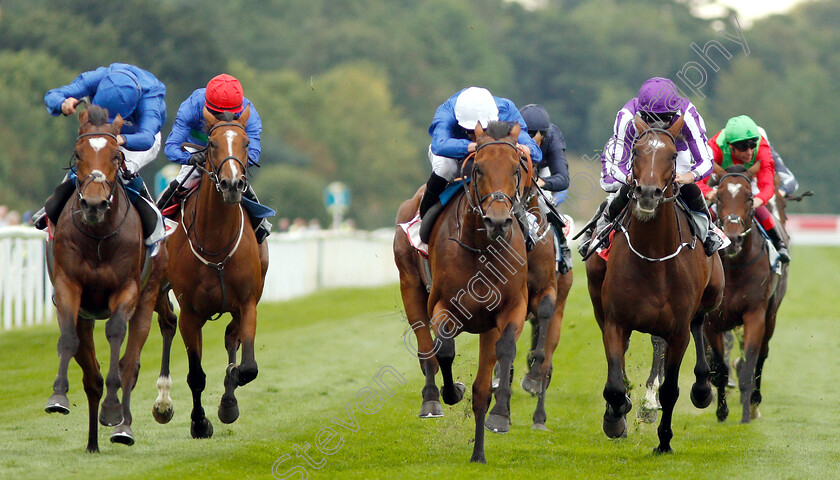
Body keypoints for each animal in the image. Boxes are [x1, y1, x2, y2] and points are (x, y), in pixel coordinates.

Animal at [45, 104, 167, 450]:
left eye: (115, 156)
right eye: (78, 154)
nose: (94, 204)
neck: (99, 236)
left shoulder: (126, 291)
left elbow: (116, 337)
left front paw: (112, 411)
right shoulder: (68, 286)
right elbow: (69, 341)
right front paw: (58, 396)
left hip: (148, 297)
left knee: (130, 363)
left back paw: (123, 428)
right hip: (85, 314)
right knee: (91, 375)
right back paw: (92, 443)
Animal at [152, 107, 270, 436]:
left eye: (246, 143)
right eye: (212, 144)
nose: (232, 185)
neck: (215, 241)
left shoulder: (247, 303)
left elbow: (247, 366)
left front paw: (229, 397)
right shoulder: (192, 314)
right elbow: (196, 375)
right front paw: (199, 422)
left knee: (230, 337)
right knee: (167, 323)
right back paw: (163, 401)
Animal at [396, 120, 528, 462]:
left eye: (516, 168)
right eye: (478, 168)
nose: (498, 221)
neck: (482, 248)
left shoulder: (511, 307)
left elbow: (504, 352)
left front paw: (500, 416)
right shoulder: (443, 305)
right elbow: (444, 349)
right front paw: (452, 390)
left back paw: (478, 451)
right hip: (410, 285)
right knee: (426, 348)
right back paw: (431, 399)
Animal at [588, 117, 724, 454]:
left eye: (672, 155)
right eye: (636, 151)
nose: (648, 193)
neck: (653, 258)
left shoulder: (677, 331)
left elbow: (670, 389)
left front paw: (664, 441)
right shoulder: (616, 321)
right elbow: (614, 385)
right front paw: (615, 417)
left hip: (712, 294)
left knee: (699, 322)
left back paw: (702, 387)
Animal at [708, 167, 788, 422]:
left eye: (750, 199)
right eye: (719, 197)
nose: (733, 239)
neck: (735, 267)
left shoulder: (755, 315)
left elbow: (749, 365)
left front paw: (745, 415)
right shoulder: (712, 320)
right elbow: (719, 367)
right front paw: (721, 411)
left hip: (771, 314)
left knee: (761, 356)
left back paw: (753, 403)